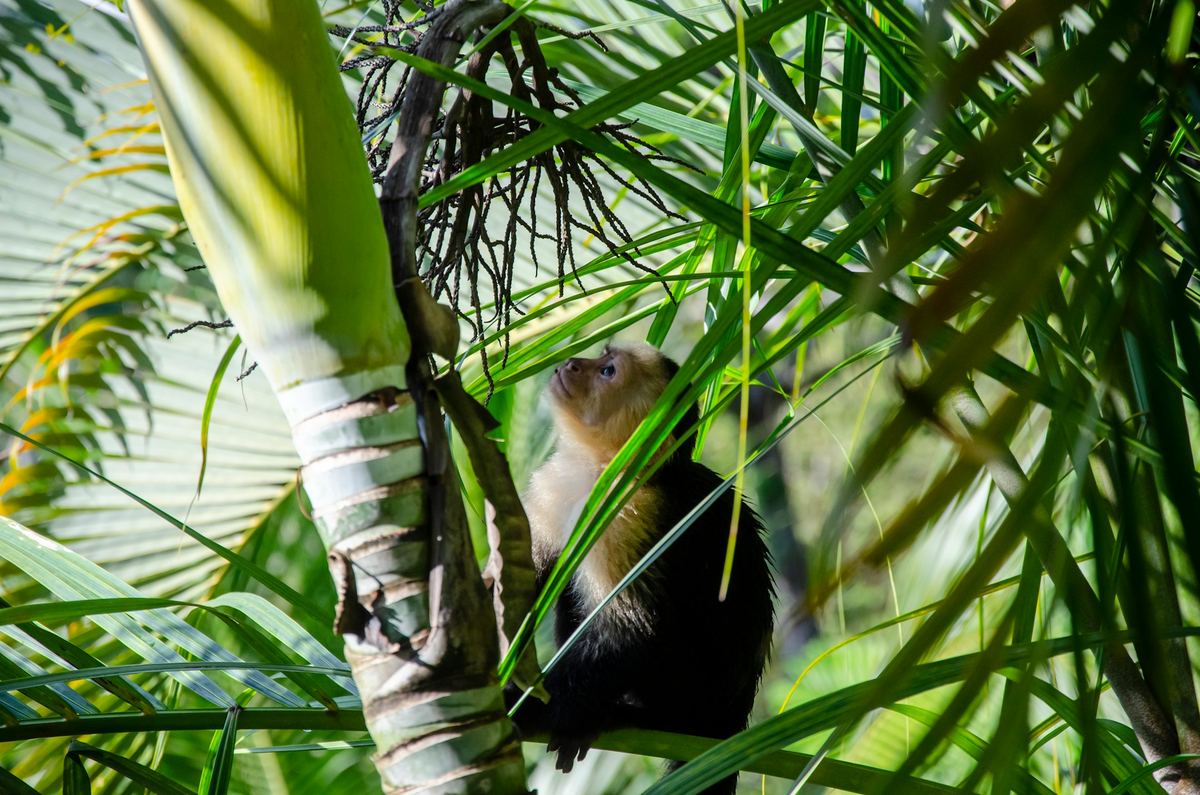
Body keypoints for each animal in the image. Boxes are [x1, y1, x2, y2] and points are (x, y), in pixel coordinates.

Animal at [512, 342, 775, 795]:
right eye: (601, 355)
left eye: (608, 371)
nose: (572, 363)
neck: (602, 467)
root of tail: (730, 719)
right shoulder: (554, 485)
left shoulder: (631, 512)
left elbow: (631, 630)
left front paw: (543, 708)